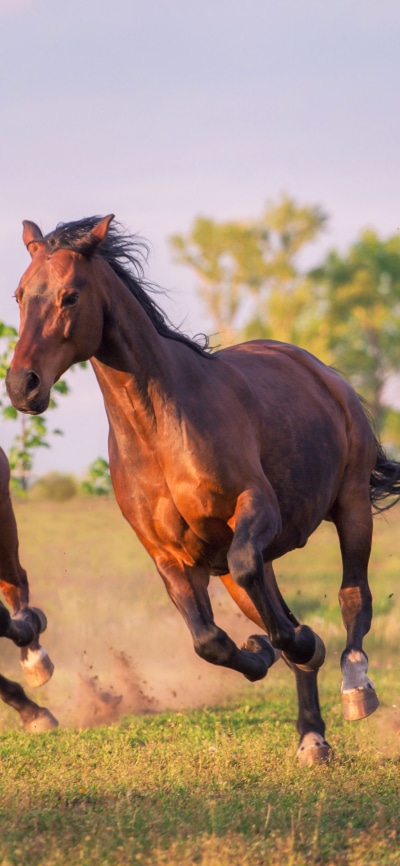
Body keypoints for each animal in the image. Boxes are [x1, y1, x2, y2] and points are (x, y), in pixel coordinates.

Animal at [6, 214, 400, 764]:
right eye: (20, 295)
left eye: (70, 296)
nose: (22, 385)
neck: (160, 429)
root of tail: (322, 372)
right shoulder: (170, 556)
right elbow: (209, 640)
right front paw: (262, 649)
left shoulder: (257, 509)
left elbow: (278, 603)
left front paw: (299, 646)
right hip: (239, 570)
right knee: (274, 605)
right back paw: (312, 736)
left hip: (352, 507)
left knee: (353, 594)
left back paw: (355, 684)